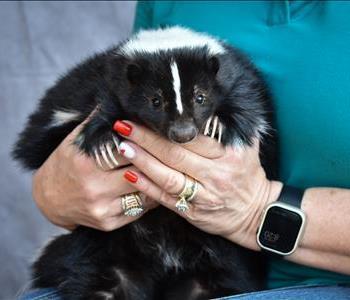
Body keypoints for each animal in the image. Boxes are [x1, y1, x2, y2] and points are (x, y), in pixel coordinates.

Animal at [13, 27, 276, 298]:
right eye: (155, 101)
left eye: (200, 97)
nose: (183, 132)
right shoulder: (89, 86)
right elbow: (45, 138)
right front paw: (104, 139)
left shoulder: (240, 77)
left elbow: (247, 102)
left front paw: (219, 123)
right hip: (104, 251)